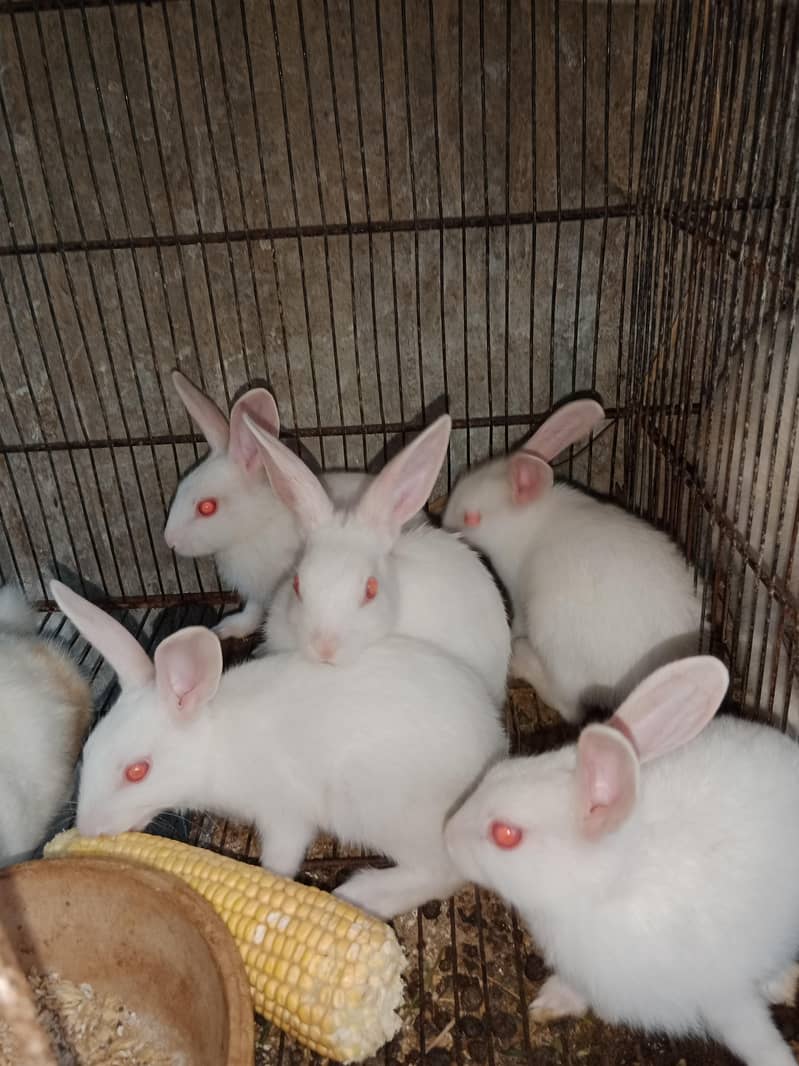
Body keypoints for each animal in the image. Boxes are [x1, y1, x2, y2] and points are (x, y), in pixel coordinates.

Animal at [50, 579, 507, 920]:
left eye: (137, 771)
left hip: (383, 812)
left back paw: (364, 893)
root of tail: (491, 750)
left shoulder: (285, 815)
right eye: (87, 754)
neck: (215, 746)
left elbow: (281, 860)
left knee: (442, 872)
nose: (89, 828)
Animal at [164, 370, 372, 640]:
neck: (255, 526)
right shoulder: (255, 592)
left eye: (207, 507)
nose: (169, 541)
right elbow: (252, 612)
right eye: (180, 486)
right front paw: (227, 629)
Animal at [442, 399, 702, 722]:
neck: (528, 523)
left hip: (554, 639)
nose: (443, 525)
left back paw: (521, 660)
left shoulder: (519, 596)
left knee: (569, 705)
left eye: (471, 518)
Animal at [445, 655, 799, 1066]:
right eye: (496, 772)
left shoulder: (723, 994)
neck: (610, 884)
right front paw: (550, 1003)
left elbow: (754, 1038)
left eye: (505, 834)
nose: (446, 832)